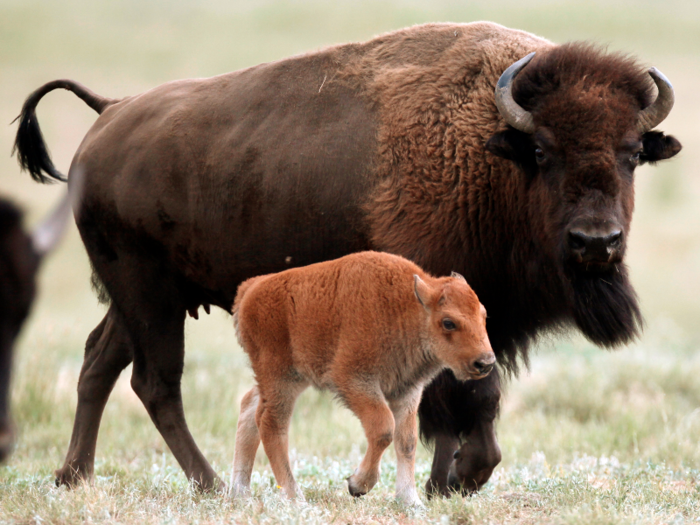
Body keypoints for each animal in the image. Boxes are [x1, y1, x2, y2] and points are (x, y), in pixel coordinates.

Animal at [232, 252, 494, 506]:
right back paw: (295, 498)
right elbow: (383, 428)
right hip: (280, 378)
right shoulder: (354, 381)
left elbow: (406, 441)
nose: (485, 362)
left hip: (288, 379)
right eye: (448, 322)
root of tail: (251, 289)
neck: (405, 306)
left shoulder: (407, 391)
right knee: (271, 425)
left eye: (484, 314)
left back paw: (241, 493)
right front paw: (357, 485)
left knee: (249, 408)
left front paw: (410, 501)